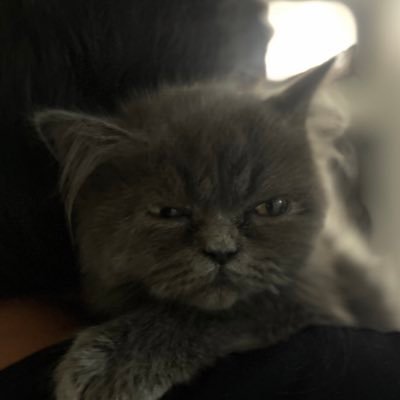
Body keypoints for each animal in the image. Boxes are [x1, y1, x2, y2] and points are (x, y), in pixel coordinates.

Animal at [34, 58, 358, 400]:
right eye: (169, 213)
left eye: (271, 207)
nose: (221, 251)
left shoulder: (312, 297)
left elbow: (225, 311)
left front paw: (107, 362)